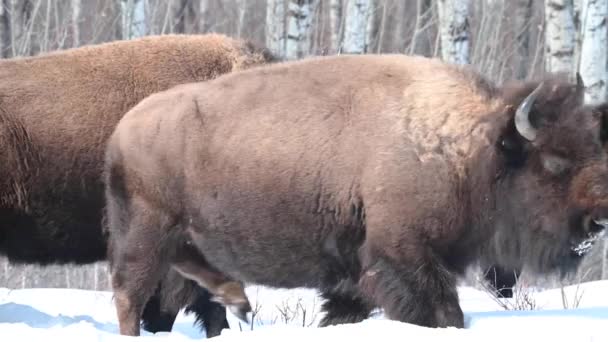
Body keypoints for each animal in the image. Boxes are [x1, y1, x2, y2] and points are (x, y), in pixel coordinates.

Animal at [104, 53, 608, 334]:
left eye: (595, 148)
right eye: (556, 161)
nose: (598, 221)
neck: (465, 145)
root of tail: (122, 129)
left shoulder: (357, 267)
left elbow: (347, 307)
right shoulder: (403, 254)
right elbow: (440, 309)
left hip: (185, 243)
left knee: (182, 293)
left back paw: (238, 304)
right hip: (146, 237)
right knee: (131, 296)